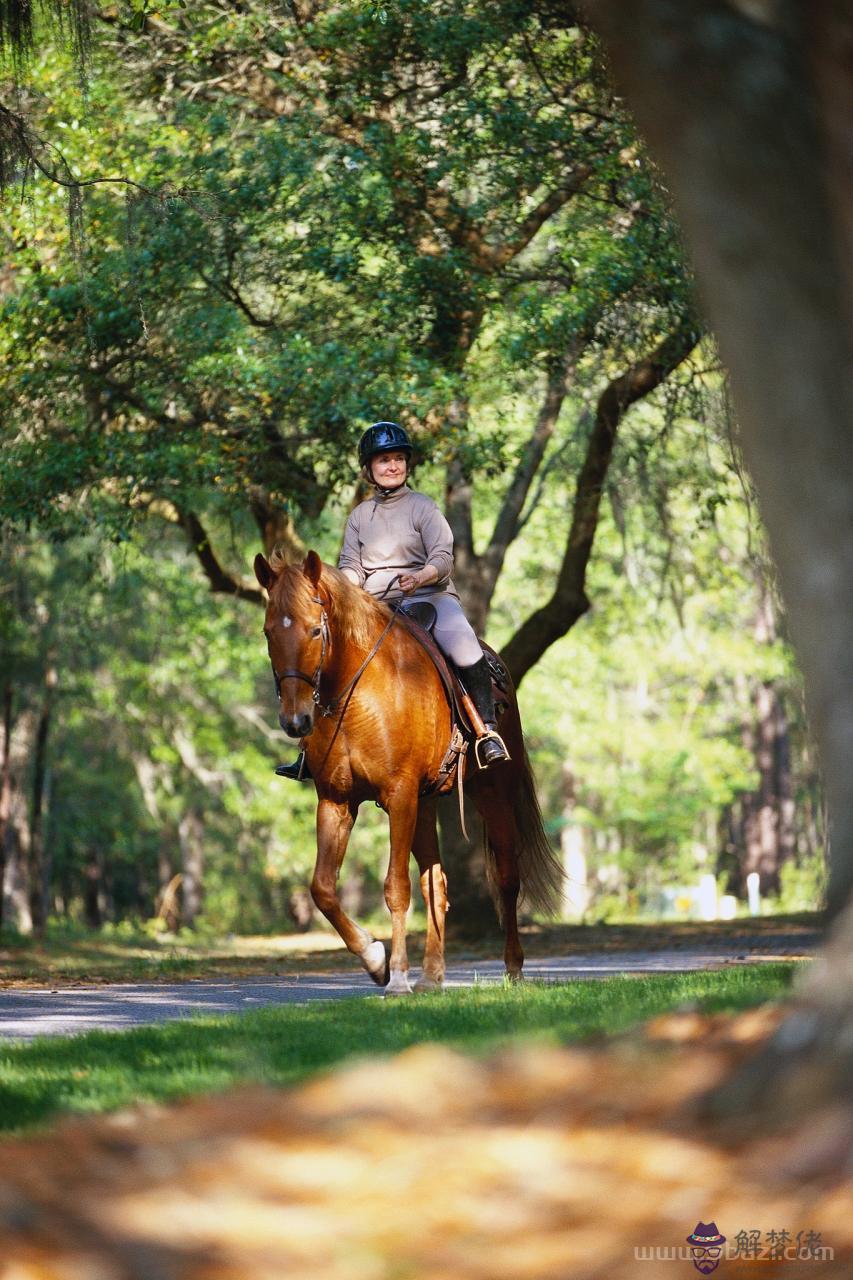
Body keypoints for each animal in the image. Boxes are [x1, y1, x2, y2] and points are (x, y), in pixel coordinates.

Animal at [252, 545, 558, 993]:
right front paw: (375, 959)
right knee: (437, 884)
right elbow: (322, 888)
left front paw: (396, 976)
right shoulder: (337, 801)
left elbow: (395, 888)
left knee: (506, 877)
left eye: (314, 631)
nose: (295, 721)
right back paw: (432, 976)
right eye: (269, 632)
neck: (356, 696)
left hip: (491, 793)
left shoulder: (398, 796)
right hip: (424, 804)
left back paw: (513, 968)